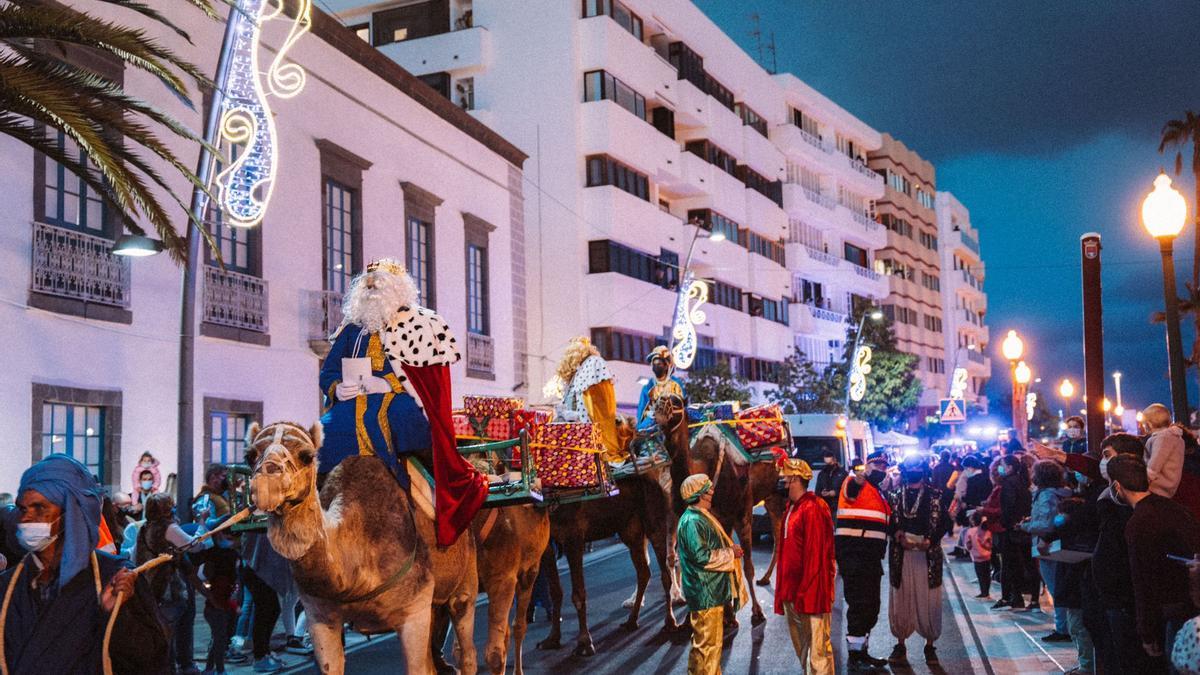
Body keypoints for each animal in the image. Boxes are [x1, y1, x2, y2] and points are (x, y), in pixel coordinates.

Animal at [247, 420, 477, 672]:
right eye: (250, 455)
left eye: (307, 456)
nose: (266, 484)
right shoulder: (319, 616)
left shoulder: (414, 611)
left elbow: (418, 668)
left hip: (465, 580)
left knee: (466, 646)